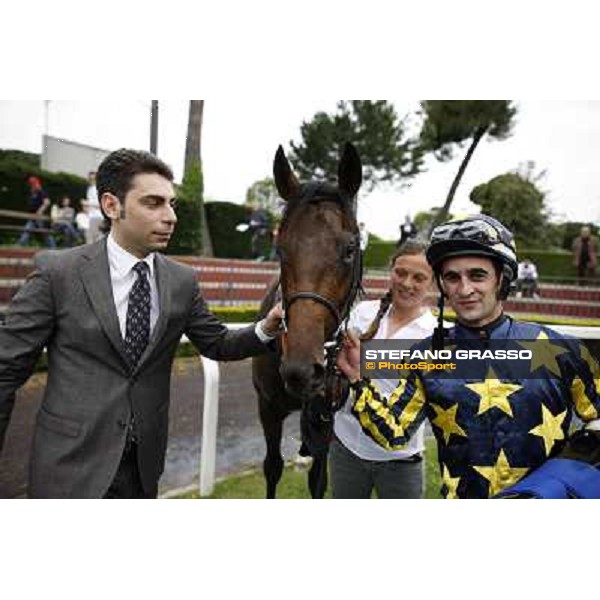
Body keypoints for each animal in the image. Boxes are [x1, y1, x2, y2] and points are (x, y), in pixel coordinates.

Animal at [252, 142, 360, 496]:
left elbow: (319, 478)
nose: (301, 369)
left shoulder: (326, 415)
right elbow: (272, 467)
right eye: (280, 249)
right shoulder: (268, 407)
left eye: (350, 249)